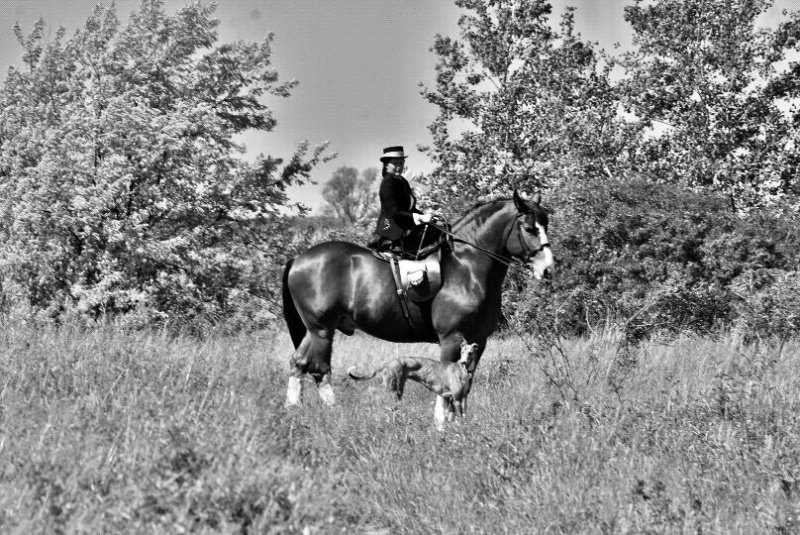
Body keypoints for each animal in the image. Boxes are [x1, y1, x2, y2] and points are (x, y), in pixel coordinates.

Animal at [346, 342, 478, 416]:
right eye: (462, 352)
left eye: (470, 352)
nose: (463, 362)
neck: (463, 371)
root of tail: (386, 363)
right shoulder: (456, 398)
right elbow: (459, 418)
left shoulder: (457, 398)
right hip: (392, 390)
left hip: (398, 390)